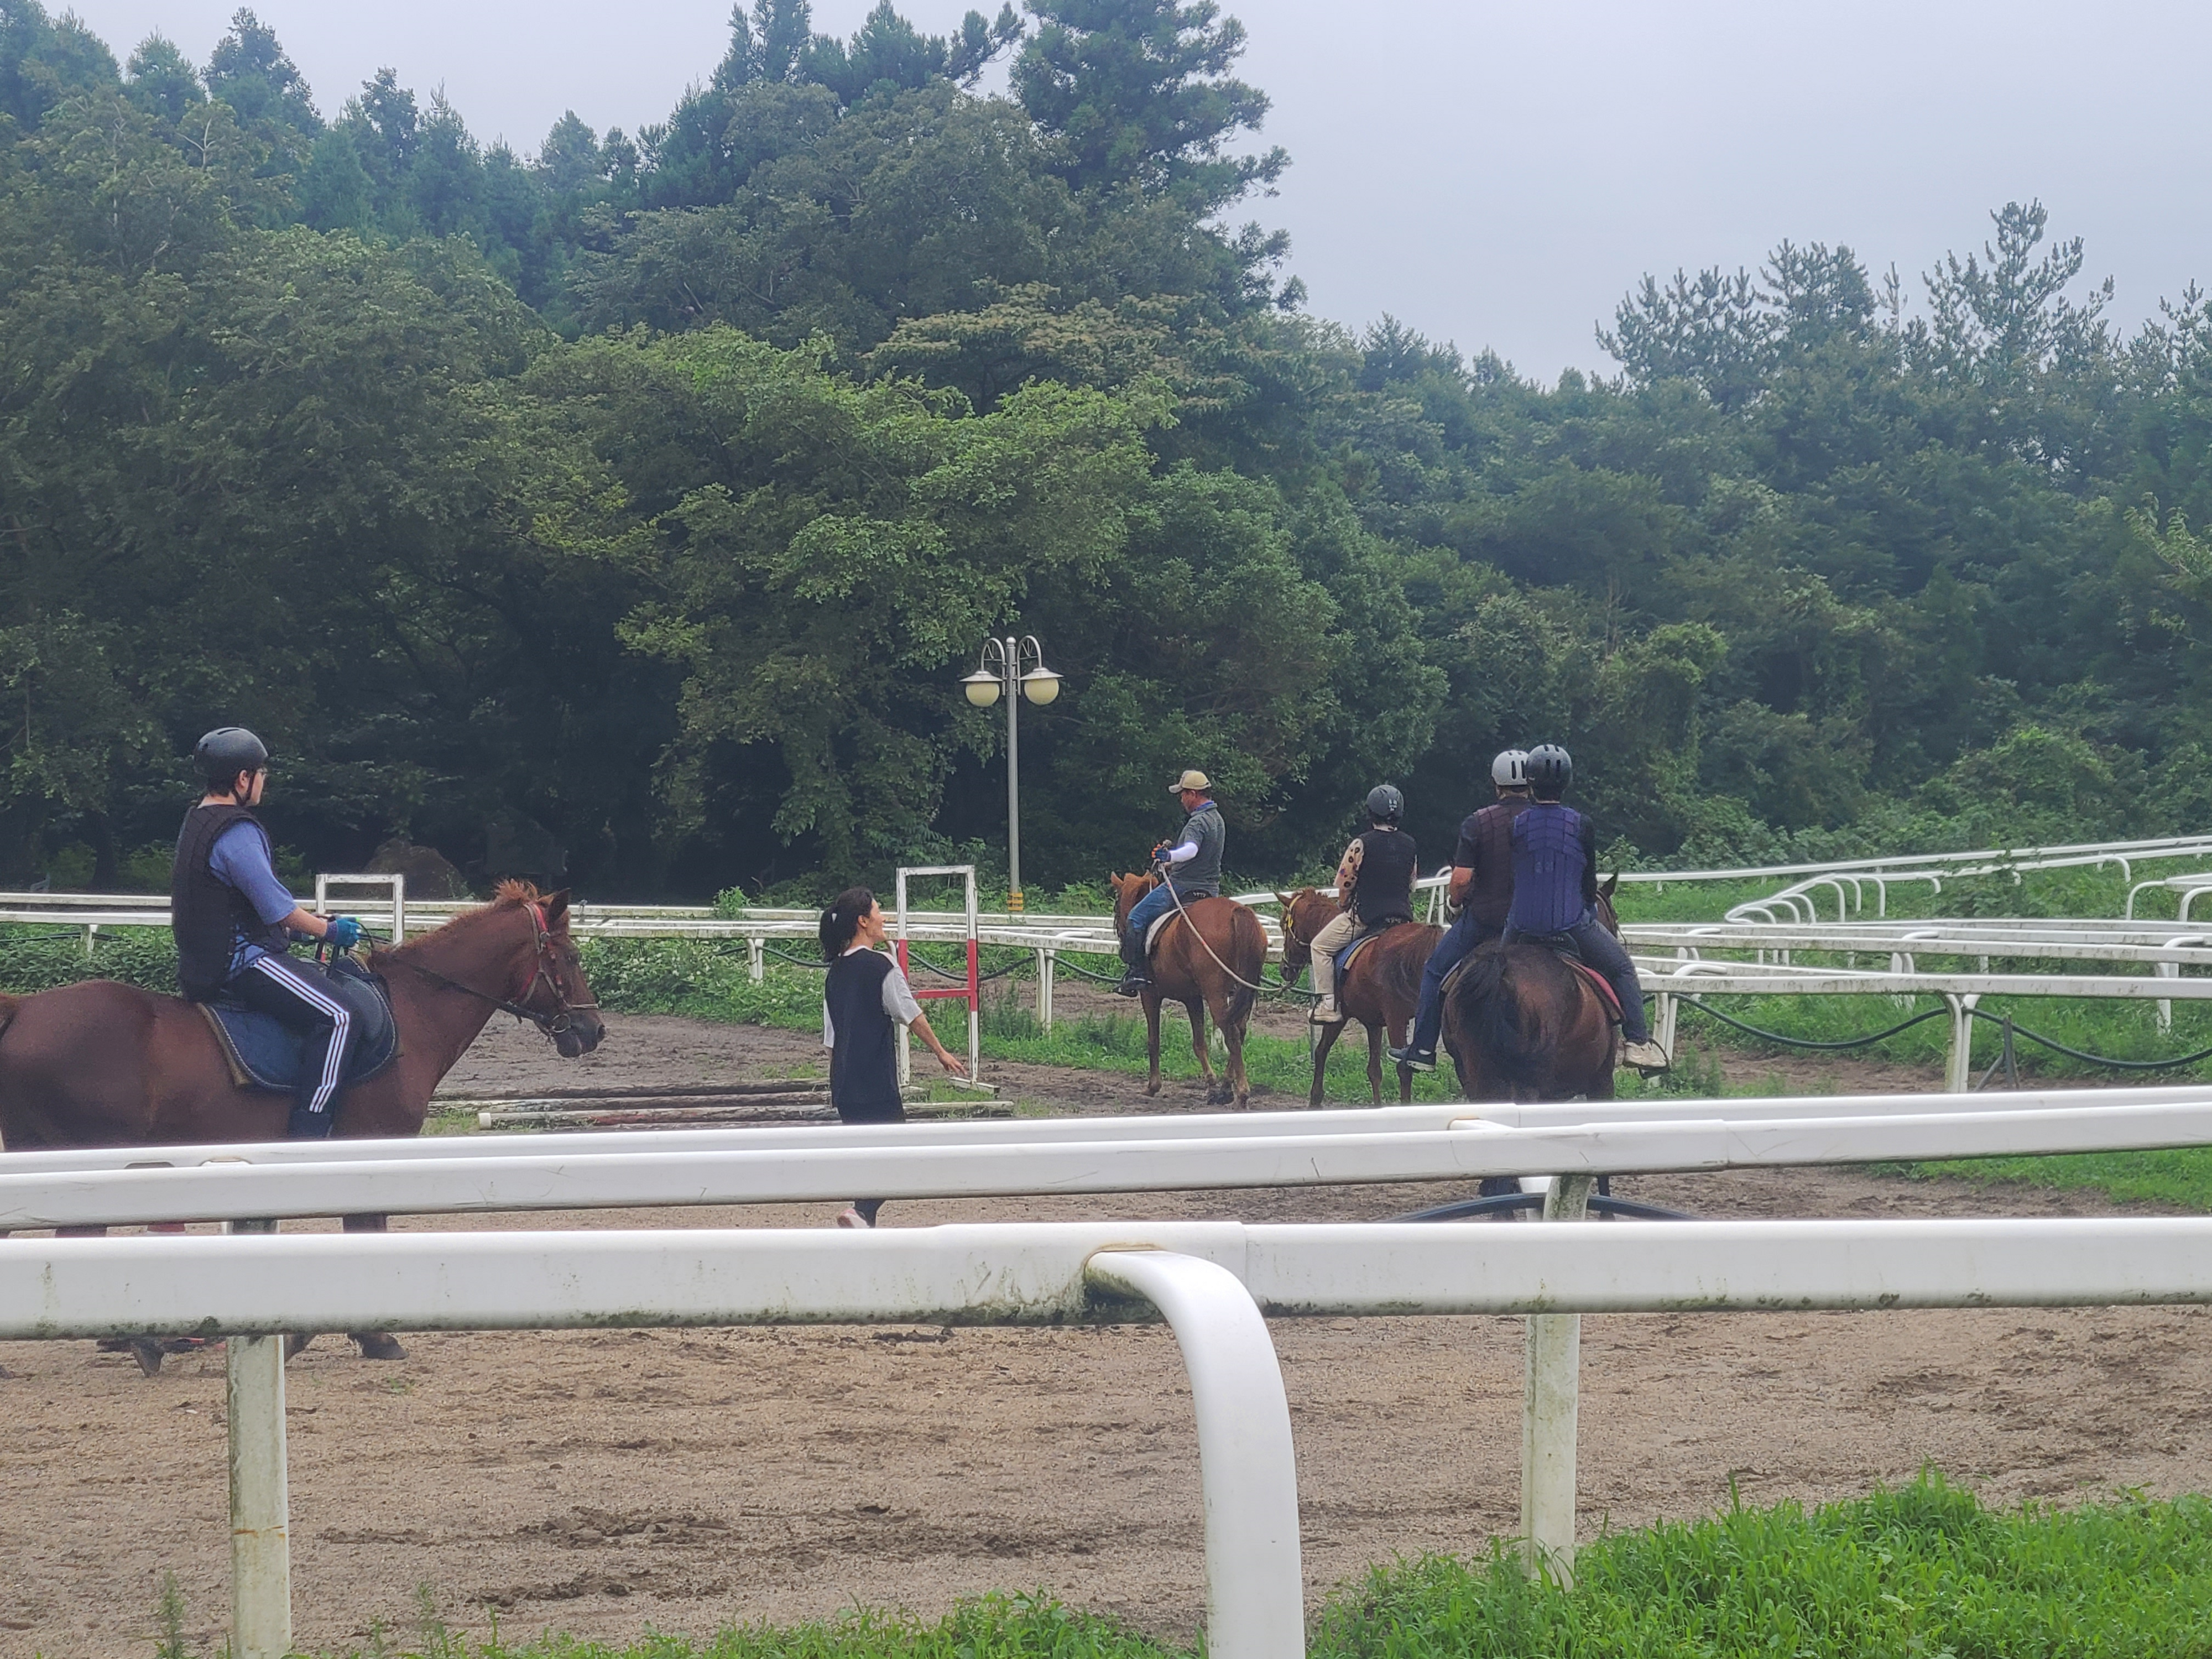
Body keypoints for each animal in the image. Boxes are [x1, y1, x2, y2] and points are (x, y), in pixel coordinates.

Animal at [0, 889, 606, 1371]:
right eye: (570, 956)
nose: (592, 1029)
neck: (410, 1012)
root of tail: (23, 1010)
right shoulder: (371, 1149)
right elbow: (366, 1231)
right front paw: (374, 1336)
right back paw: (139, 1341)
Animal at [1102, 876, 1265, 1110]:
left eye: (1116, 907)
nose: (1122, 949)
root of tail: (1237, 911)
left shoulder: (1150, 996)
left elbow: (1154, 1040)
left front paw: (1153, 1086)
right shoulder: (1192, 998)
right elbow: (1199, 1044)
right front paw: (1211, 1086)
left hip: (1216, 993)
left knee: (1232, 1034)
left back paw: (1241, 1094)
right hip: (1244, 992)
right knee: (1239, 1032)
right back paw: (1225, 1088)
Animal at [1274, 889, 1442, 1110]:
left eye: (1283, 924)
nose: (1284, 969)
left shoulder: (1339, 1017)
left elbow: (1321, 1052)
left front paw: (1315, 1100)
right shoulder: (1374, 1024)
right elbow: (1374, 1070)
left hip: (1397, 1020)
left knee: (1405, 1070)